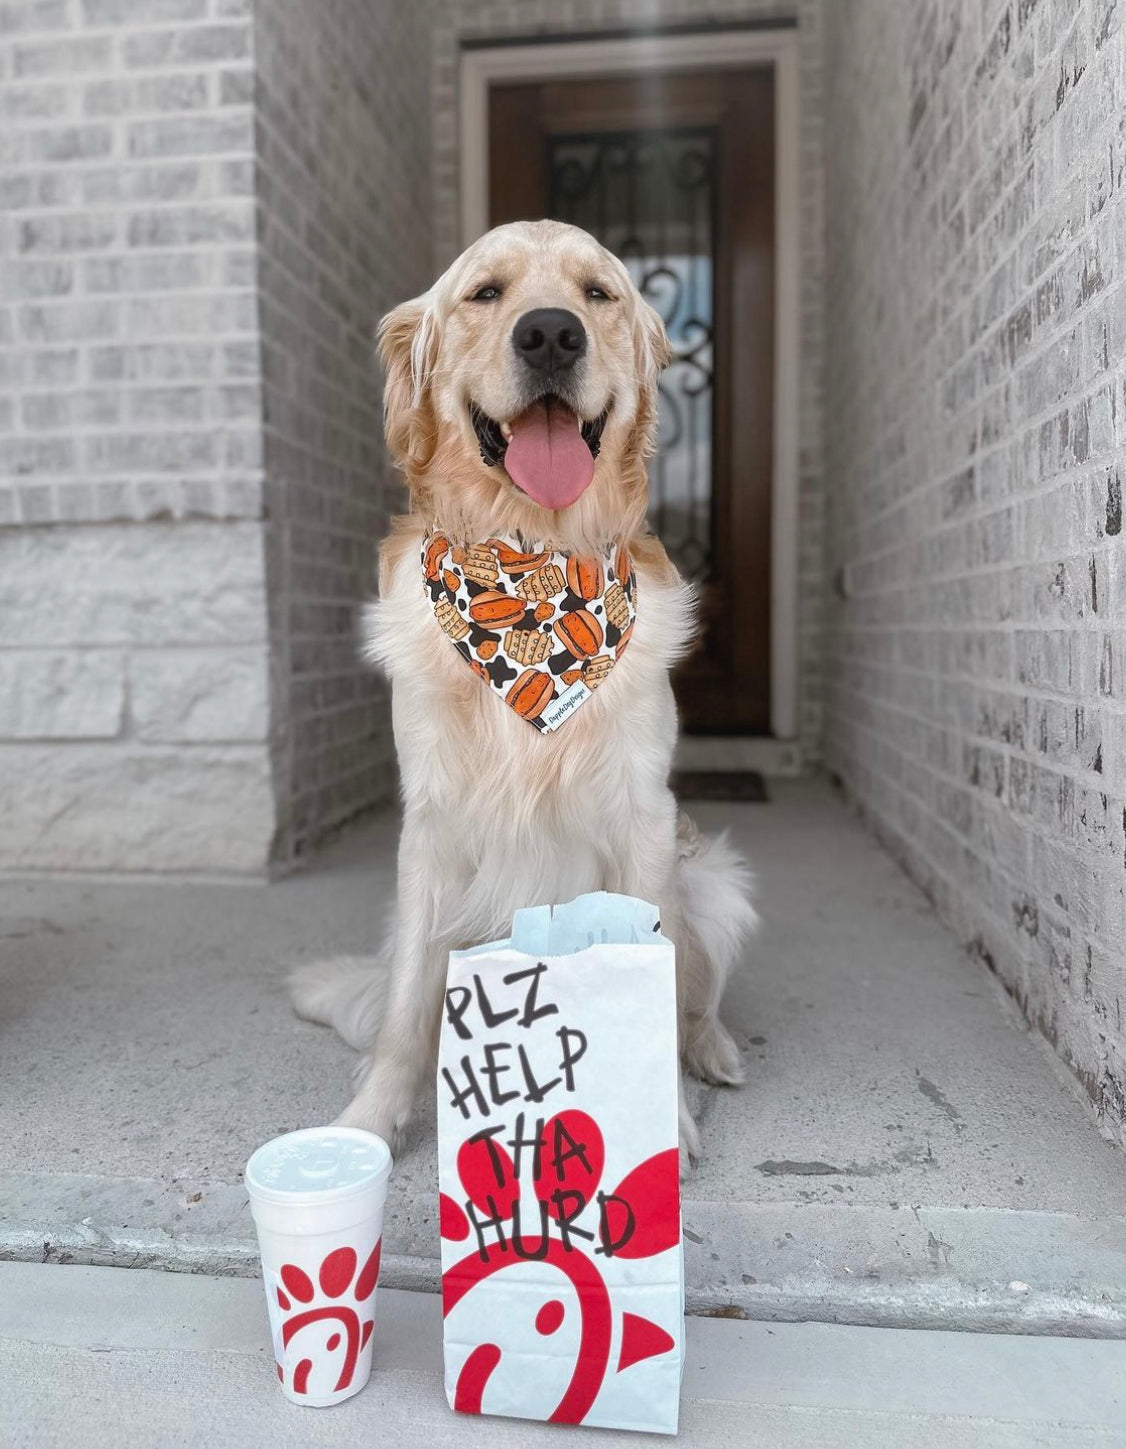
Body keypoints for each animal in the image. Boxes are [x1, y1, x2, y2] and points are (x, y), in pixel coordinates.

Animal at [294, 220, 759, 1170]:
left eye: (598, 294)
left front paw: (665, 1118)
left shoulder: (644, 820)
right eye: (485, 293)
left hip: (717, 882)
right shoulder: (430, 827)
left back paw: (715, 1051)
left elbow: (659, 980)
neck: (530, 557)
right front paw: (369, 1120)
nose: (550, 334)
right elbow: (405, 1006)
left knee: (698, 995)